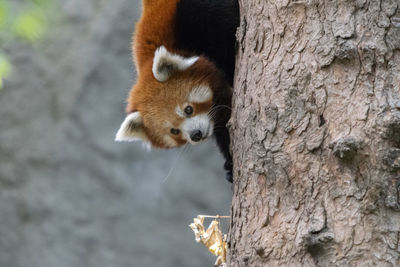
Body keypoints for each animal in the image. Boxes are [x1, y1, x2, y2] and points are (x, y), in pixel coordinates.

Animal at [117, 0, 239, 182]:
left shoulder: (200, 17)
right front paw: (230, 164)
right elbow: (224, 125)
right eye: (174, 131)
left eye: (188, 109)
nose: (196, 134)